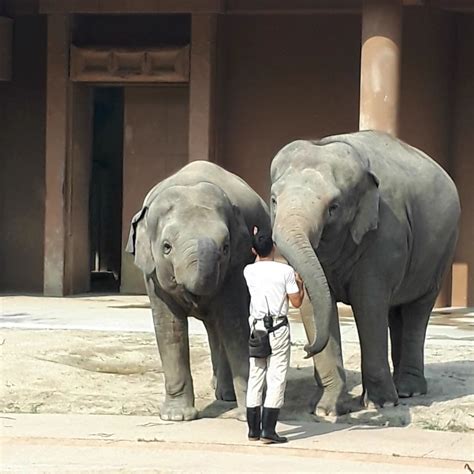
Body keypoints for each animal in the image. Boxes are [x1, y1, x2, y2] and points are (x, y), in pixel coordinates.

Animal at [126, 161, 270, 420]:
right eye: (166, 247)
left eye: (225, 247)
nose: (194, 294)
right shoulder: (152, 275)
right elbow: (170, 327)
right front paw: (176, 417)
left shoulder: (235, 267)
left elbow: (234, 324)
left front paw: (247, 414)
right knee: (213, 329)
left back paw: (226, 395)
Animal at [270, 130, 460, 414]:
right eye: (273, 200)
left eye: (333, 207)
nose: (305, 348)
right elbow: (314, 304)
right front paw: (324, 409)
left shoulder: (385, 234)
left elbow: (368, 302)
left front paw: (380, 404)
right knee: (396, 310)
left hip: (441, 253)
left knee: (417, 310)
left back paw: (408, 391)